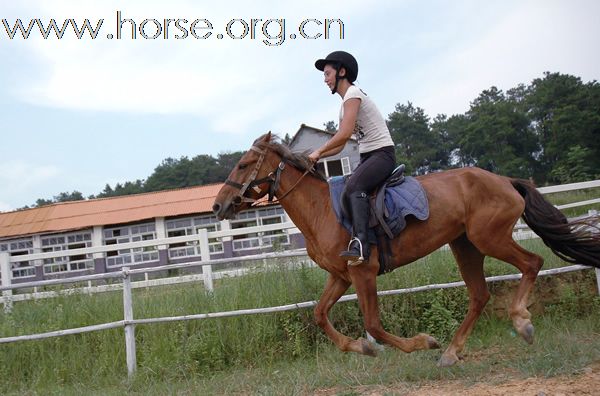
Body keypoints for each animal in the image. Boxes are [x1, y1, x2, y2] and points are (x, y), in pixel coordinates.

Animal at [212, 132, 600, 366]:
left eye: (243, 165)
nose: (218, 206)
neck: (322, 209)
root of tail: (505, 180)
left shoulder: (363, 272)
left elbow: (373, 322)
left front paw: (421, 343)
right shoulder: (341, 276)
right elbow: (320, 314)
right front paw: (361, 347)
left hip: (490, 238)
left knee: (532, 262)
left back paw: (521, 322)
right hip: (465, 246)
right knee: (479, 295)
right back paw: (452, 352)